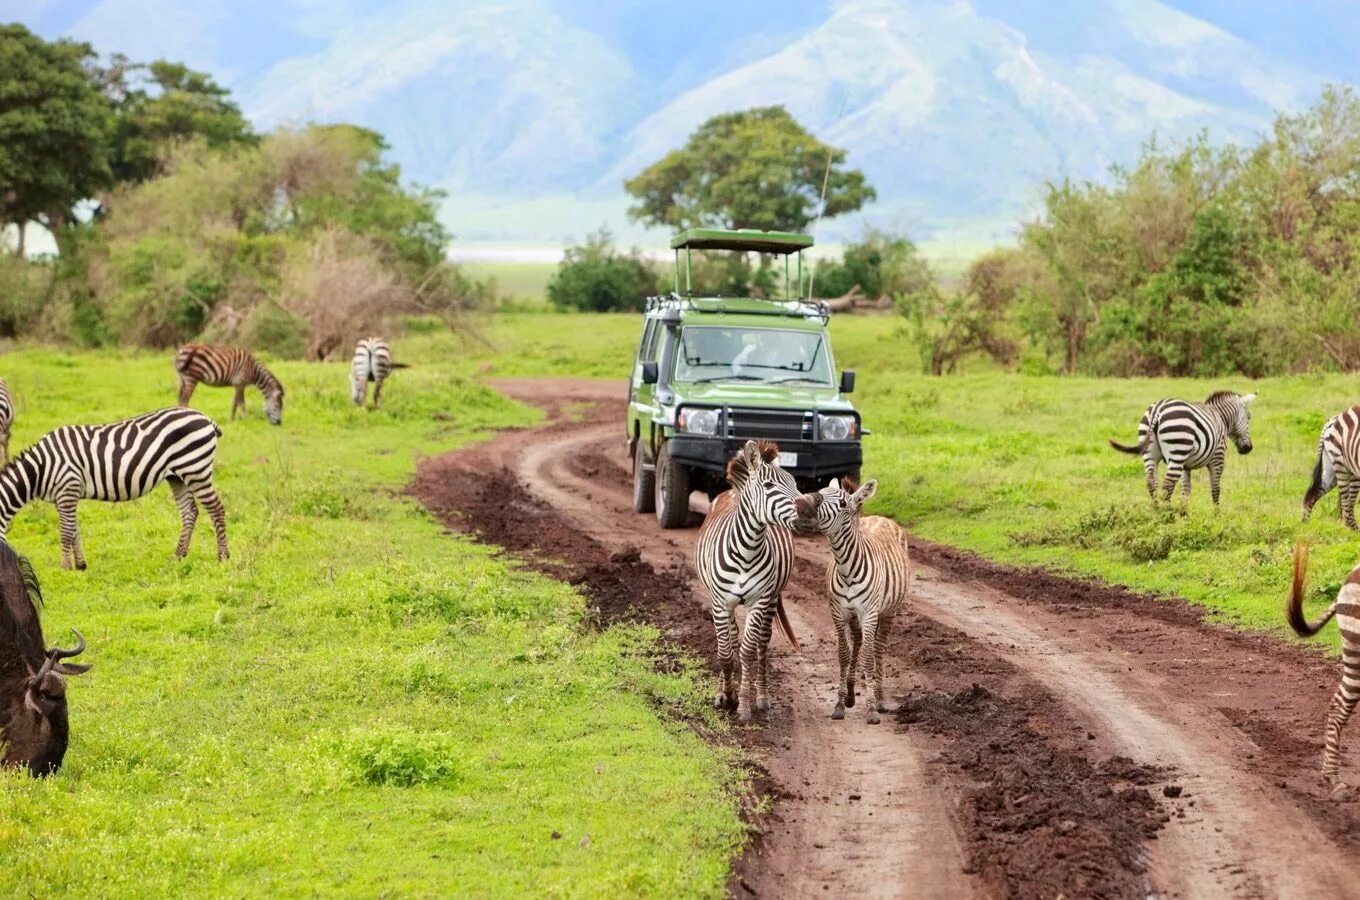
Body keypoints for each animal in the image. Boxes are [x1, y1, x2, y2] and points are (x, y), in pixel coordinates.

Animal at [0, 410, 228, 570]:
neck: (40, 467)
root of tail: (206, 418)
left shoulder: (67, 489)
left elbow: (66, 532)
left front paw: (65, 567)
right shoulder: (64, 496)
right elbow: (74, 530)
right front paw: (80, 565)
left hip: (195, 468)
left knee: (216, 509)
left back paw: (223, 557)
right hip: (178, 476)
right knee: (190, 511)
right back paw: (178, 556)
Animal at [696, 440, 810, 723]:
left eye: (794, 482)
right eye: (769, 486)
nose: (808, 511)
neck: (747, 550)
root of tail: (731, 492)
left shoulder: (759, 600)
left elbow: (747, 651)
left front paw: (744, 705)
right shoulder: (719, 602)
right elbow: (725, 652)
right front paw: (726, 696)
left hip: (771, 599)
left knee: (761, 644)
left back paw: (762, 697)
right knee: (730, 639)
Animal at [794, 478, 913, 728]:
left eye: (841, 503)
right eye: (819, 491)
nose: (801, 504)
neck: (846, 568)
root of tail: (881, 517)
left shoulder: (869, 613)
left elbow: (868, 658)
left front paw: (871, 709)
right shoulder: (838, 613)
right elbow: (843, 654)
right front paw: (840, 704)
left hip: (888, 612)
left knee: (877, 648)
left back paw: (880, 698)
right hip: (856, 617)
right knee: (858, 643)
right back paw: (851, 694)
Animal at [1109, 394, 1256, 511]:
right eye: (1249, 417)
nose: (1248, 448)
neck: (1221, 418)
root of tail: (1157, 410)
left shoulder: (1186, 465)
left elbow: (1186, 490)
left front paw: (1184, 514)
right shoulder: (1218, 458)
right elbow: (1215, 488)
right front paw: (1216, 514)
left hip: (1150, 453)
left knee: (1151, 482)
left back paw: (1156, 510)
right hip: (1177, 452)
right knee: (1167, 485)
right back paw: (1167, 513)